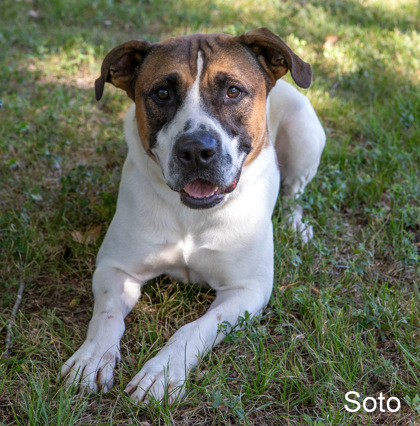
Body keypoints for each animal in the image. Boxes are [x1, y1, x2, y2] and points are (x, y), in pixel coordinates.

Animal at [60, 29, 326, 402]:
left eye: (233, 91)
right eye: (162, 93)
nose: (197, 150)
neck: (191, 215)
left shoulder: (247, 289)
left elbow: (195, 327)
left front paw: (163, 370)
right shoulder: (116, 268)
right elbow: (107, 315)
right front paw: (93, 357)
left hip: (305, 133)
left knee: (295, 192)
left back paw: (297, 226)